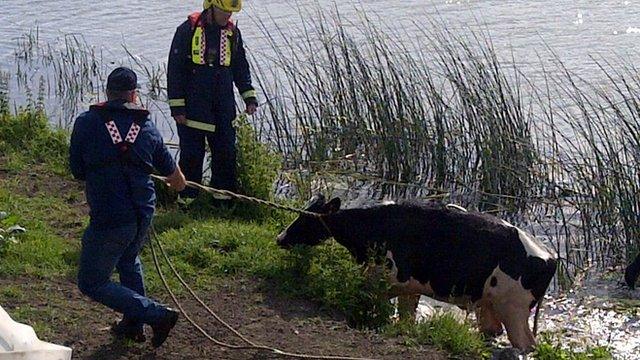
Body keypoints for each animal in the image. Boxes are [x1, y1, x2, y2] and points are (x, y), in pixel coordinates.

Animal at [278, 195, 556, 350]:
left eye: (306, 218)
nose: (280, 238)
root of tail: (550, 256)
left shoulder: (386, 280)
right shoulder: (409, 288)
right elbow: (405, 319)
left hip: (514, 310)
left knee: (525, 345)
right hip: (491, 306)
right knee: (493, 331)